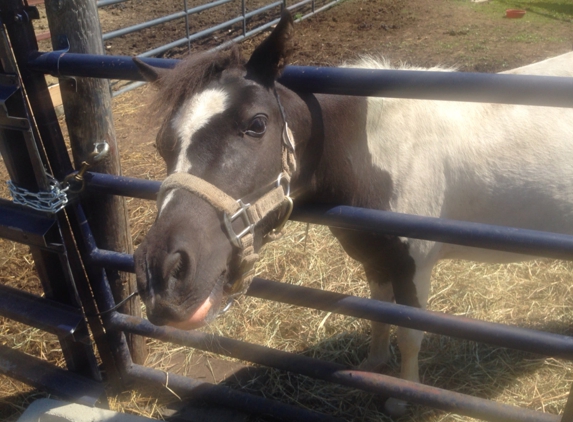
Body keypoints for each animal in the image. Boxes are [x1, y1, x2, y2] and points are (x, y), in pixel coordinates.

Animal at [133, 11, 572, 414]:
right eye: (161, 143)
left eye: (256, 124)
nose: (162, 272)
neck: (376, 150)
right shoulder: (376, 258)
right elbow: (378, 314)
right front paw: (374, 365)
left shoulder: (414, 267)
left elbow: (409, 334)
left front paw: (400, 398)